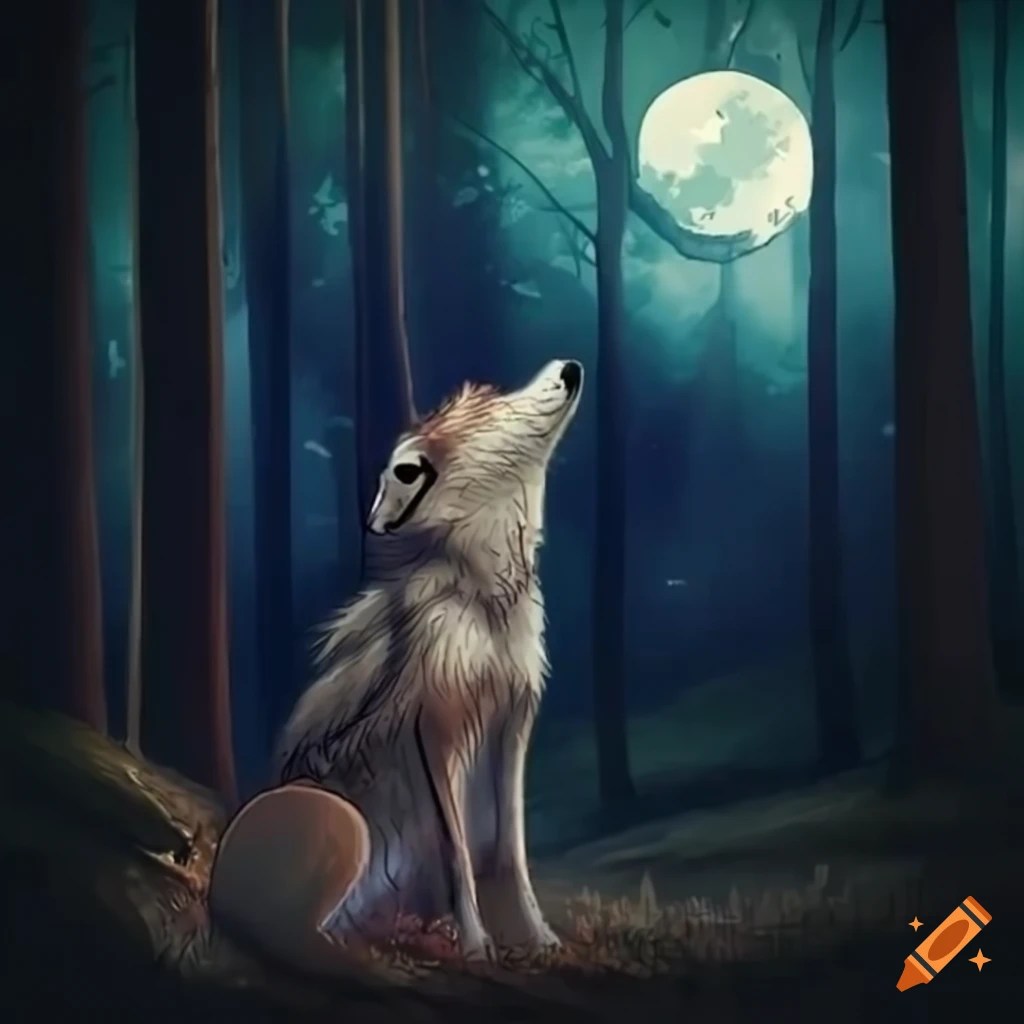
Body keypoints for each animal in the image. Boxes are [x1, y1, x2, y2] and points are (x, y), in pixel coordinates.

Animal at [209, 358, 584, 966]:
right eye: (500, 408)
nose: (568, 367)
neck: (486, 601)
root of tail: (214, 889)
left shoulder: (512, 723)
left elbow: (511, 853)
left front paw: (537, 940)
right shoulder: (435, 726)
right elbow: (458, 855)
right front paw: (477, 947)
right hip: (343, 821)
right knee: (291, 935)